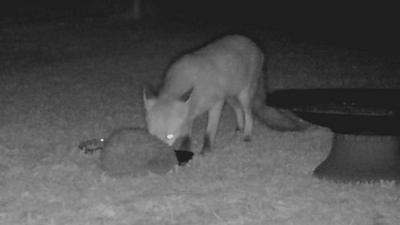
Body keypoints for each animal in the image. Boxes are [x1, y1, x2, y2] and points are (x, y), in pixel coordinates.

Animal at [142, 34, 304, 155]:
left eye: (169, 136)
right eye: (153, 136)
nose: (161, 153)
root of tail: (253, 43)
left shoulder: (216, 103)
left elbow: (209, 132)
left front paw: (205, 151)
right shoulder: (189, 115)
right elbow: (187, 136)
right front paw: (185, 150)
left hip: (244, 95)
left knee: (249, 114)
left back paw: (247, 135)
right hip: (231, 97)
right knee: (238, 111)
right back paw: (239, 128)